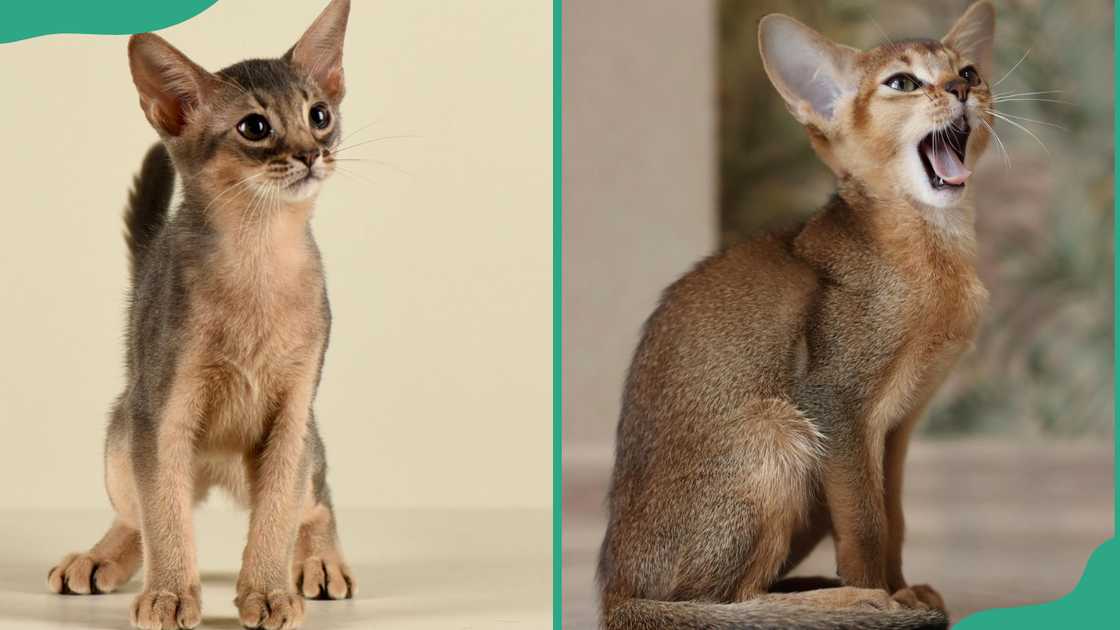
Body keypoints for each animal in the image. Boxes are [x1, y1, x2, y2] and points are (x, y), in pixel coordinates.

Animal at [47, 2, 353, 623]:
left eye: (319, 114)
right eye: (254, 127)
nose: (313, 152)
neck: (259, 257)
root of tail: (215, 476)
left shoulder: (293, 413)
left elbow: (276, 516)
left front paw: (267, 591)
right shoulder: (160, 413)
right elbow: (164, 516)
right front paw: (169, 594)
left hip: (306, 444)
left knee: (315, 502)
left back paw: (320, 561)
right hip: (121, 439)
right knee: (137, 516)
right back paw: (98, 559)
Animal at [600, 2, 994, 623]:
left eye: (970, 71)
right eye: (902, 83)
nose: (959, 88)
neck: (930, 251)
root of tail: (616, 593)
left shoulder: (897, 429)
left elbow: (894, 518)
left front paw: (903, 587)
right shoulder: (836, 404)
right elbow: (866, 525)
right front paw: (882, 593)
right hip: (779, 431)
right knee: (721, 601)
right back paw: (843, 601)